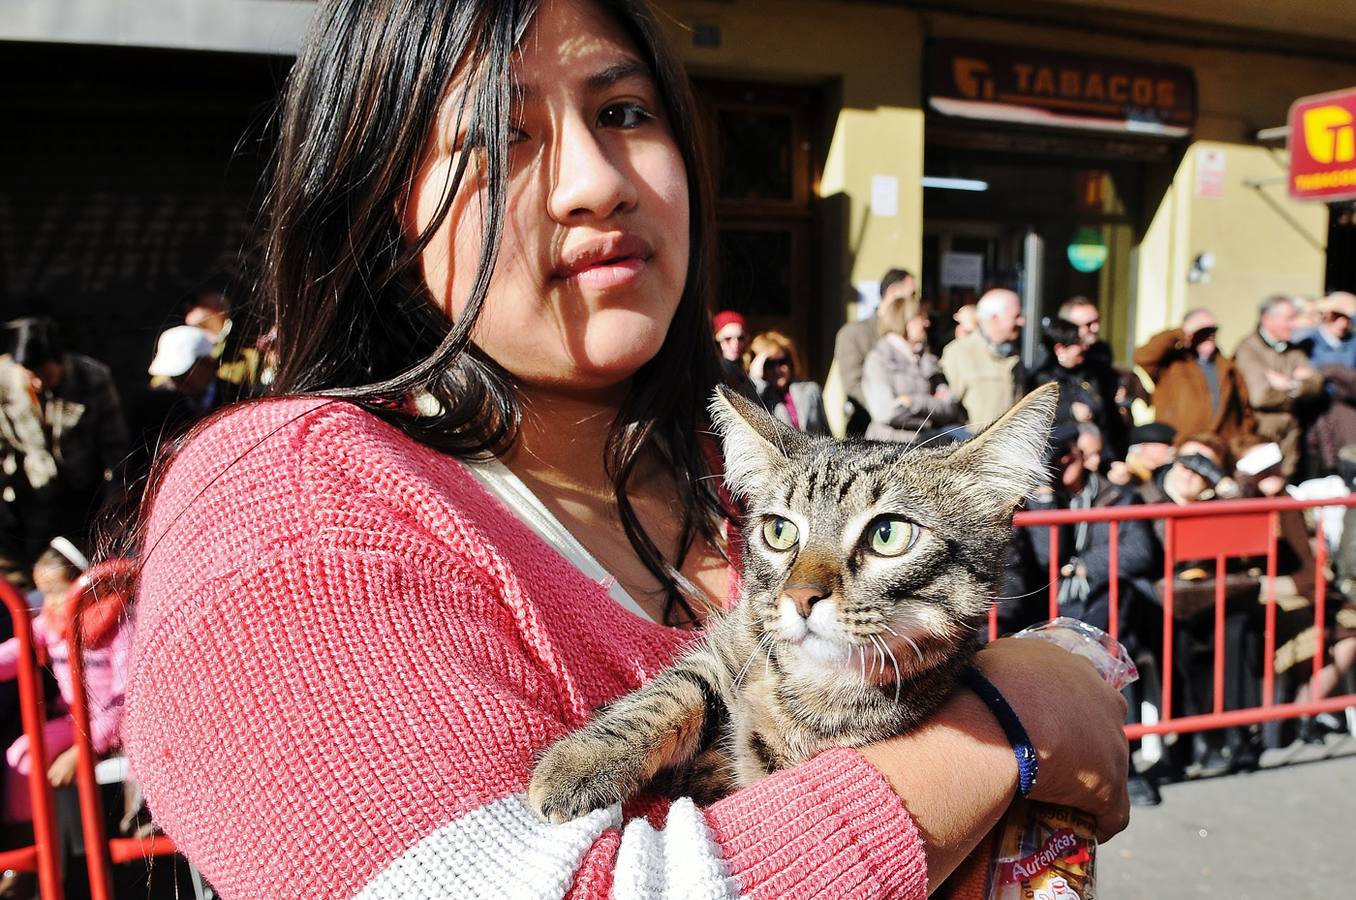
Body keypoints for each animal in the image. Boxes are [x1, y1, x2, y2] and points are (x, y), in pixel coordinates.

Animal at [523, 379, 1052, 824]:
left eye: (888, 534)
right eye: (779, 531)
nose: (800, 597)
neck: (811, 683)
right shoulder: (732, 645)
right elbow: (669, 693)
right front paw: (579, 761)